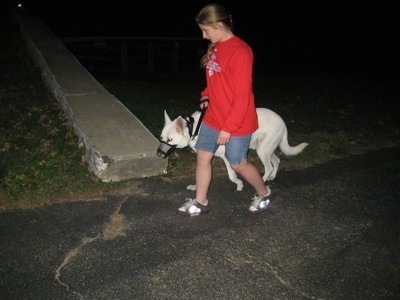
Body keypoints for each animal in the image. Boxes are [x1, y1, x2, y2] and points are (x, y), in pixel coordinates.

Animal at [157, 109, 310, 191]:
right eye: (161, 138)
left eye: (169, 140)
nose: (158, 154)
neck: (194, 128)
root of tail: (283, 122)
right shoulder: (208, 157)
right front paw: (196, 188)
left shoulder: (227, 157)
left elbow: (232, 176)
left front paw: (239, 184)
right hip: (265, 149)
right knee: (277, 160)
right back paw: (271, 177)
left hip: (262, 150)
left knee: (269, 167)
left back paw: (262, 181)